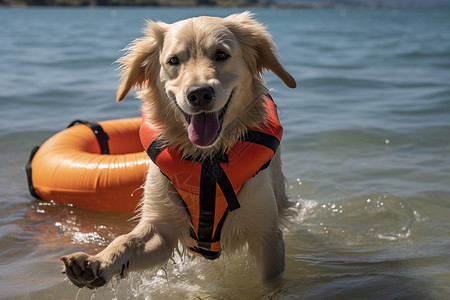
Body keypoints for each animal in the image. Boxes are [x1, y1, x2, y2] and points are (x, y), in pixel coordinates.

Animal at [61, 11, 298, 288]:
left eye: (221, 54)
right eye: (173, 60)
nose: (199, 94)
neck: (208, 159)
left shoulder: (267, 236)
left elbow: (271, 281)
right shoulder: (160, 226)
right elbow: (126, 240)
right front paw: (95, 262)